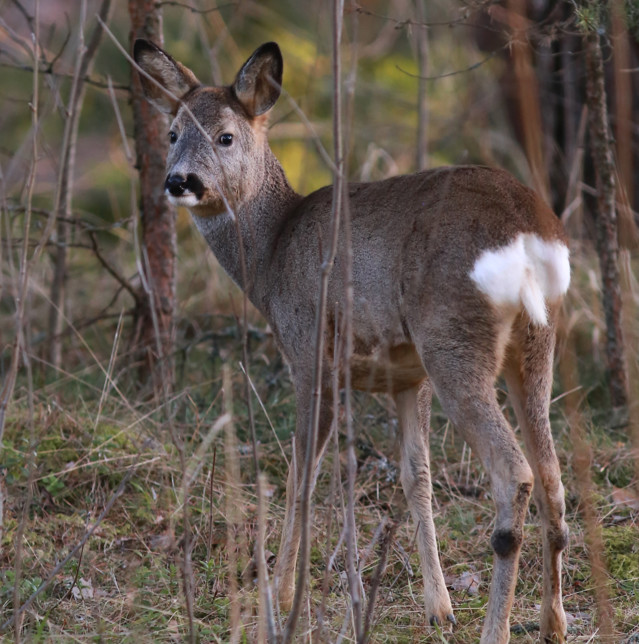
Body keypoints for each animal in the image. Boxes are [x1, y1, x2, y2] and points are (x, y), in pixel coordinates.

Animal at [134, 40, 568, 644]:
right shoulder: (408, 377)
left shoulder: (308, 351)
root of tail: (530, 233)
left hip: (454, 341)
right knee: (553, 477)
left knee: (516, 474)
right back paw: (554, 622)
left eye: (225, 136)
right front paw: (438, 608)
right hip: (533, 347)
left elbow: (303, 474)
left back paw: (497, 629)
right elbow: (416, 478)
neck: (271, 254)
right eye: (173, 132)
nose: (180, 182)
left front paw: (280, 597)